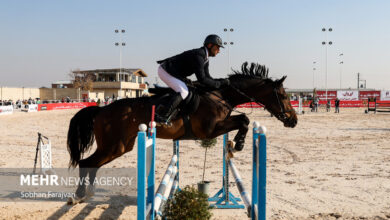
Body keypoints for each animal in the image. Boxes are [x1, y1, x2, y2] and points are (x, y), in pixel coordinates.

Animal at [65, 61, 298, 204]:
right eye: (283, 96)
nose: (293, 120)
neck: (220, 96)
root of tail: (101, 109)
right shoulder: (209, 130)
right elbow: (244, 120)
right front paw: (239, 143)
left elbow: (244, 119)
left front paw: (236, 143)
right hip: (114, 146)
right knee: (86, 162)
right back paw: (77, 197)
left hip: (121, 146)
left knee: (93, 164)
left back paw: (89, 194)